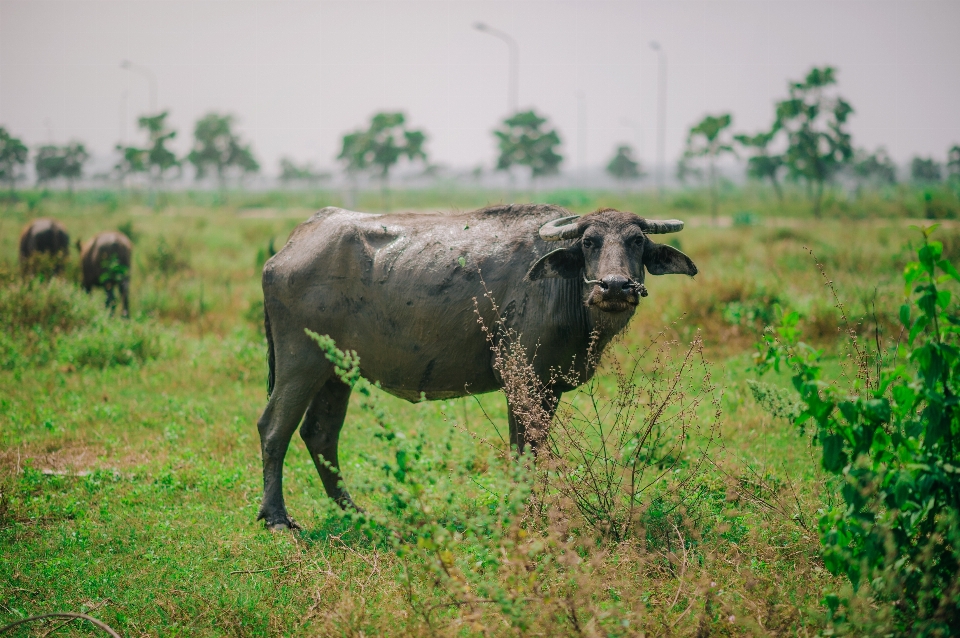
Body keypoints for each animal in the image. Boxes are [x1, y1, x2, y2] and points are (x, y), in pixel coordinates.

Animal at [258, 205, 700, 528]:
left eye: (637, 241)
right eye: (589, 242)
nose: (614, 286)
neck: (562, 290)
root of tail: (286, 250)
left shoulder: (548, 388)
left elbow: (536, 449)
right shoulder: (520, 379)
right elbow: (523, 452)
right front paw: (524, 514)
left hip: (337, 372)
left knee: (320, 434)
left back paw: (355, 512)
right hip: (300, 364)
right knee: (274, 428)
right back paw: (277, 518)